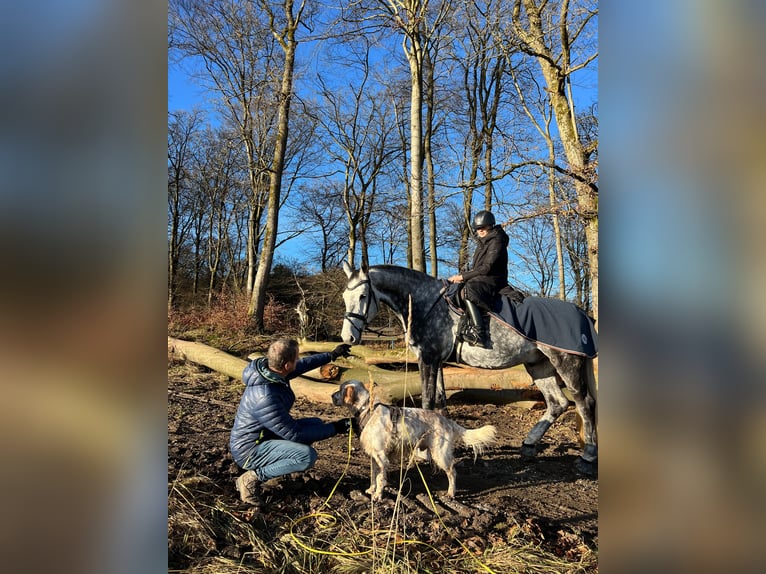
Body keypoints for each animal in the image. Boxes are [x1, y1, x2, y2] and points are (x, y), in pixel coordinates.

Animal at [332, 382, 500, 504]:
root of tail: (447, 421)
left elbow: (380, 479)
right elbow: (373, 476)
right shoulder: (374, 457)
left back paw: (451, 493)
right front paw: (371, 490)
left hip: (440, 454)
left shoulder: (382, 458)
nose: (331, 396)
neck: (368, 410)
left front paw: (378, 496)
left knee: (452, 471)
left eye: (340, 390)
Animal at [342, 264, 600, 474]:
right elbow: (440, 402)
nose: (348, 337)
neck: (424, 303)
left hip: (566, 362)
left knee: (584, 403)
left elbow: (427, 403)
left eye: (363, 296)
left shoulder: (428, 359)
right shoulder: (438, 362)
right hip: (539, 365)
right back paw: (529, 444)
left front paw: (422, 453)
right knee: (558, 403)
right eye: (345, 296)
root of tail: (581, 313)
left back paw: (587, 458)